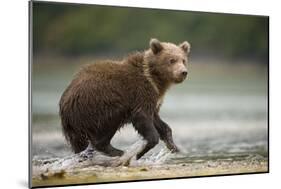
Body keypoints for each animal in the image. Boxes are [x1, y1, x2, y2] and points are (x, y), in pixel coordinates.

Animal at [59, 38, 190, 159]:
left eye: (183, 60)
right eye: (171, 60)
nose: (183, 72)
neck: (154, 79)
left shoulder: (154, 99)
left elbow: (159, 121)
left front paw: (173, 146)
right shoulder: (141, 93)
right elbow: (142, 117)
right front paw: (140, 151)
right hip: (97, 105)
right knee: (110, 121)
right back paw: (119, 152)